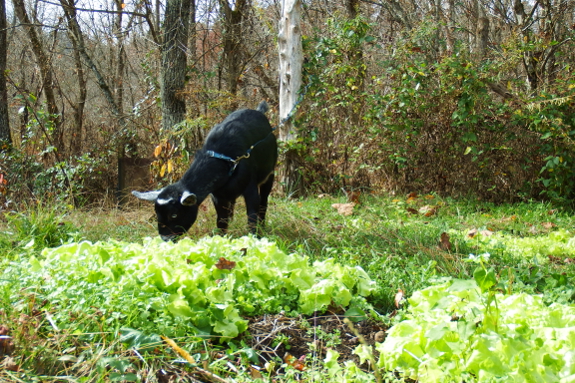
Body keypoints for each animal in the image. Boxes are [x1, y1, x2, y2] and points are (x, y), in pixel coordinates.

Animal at [135, 101, 280, 240]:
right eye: (157, 213)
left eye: (174, 215)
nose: (166, 238)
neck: (223, 159)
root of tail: (259, 111)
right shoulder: (217, 196)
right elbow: (221, 220)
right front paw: (221, 238)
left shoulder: (250, 187)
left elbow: (252, 216)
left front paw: (255, 237)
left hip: (269, 174)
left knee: (264, 201)